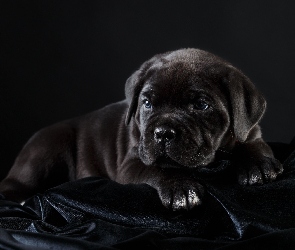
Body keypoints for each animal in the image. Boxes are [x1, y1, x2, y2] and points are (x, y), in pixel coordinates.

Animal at [0, 48, 284, 209]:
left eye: (201, 105)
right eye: (147, 103)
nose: (163, 133)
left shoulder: (250, 130)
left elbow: (253, 143)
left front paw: (259, 165)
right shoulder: (132, 162)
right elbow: (158, 168)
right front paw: (180, 187)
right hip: (49, 145)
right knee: (10, 185)